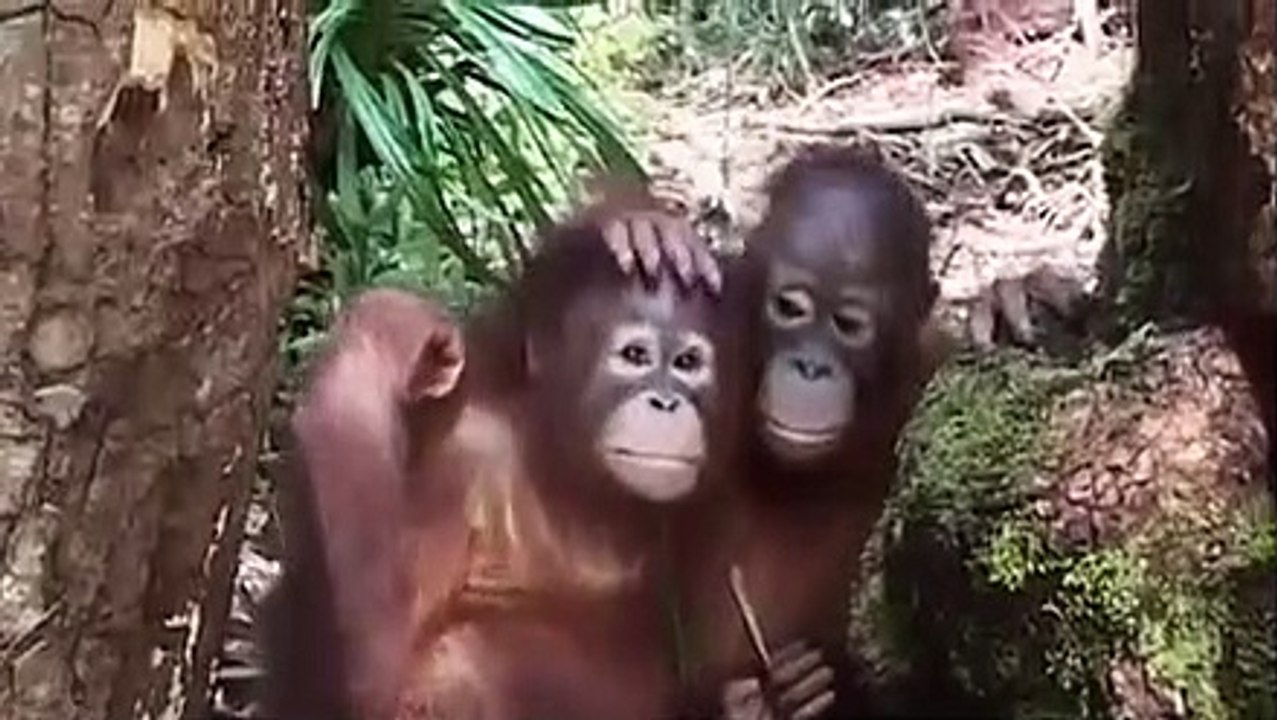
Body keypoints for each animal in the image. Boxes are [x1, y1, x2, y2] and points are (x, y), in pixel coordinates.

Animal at [262, 197, 736, 720]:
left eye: (688, 363)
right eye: (635, 355)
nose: (666, 403)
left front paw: (640, 228)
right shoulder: (462, 462)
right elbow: (371, 677)